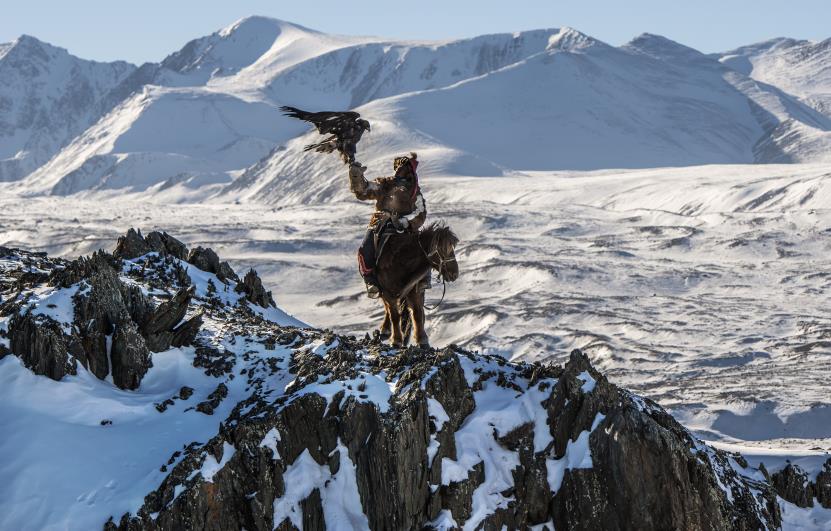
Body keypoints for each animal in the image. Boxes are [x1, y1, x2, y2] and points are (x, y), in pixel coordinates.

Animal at [376, 221, 462, 350]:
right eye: (443, 249)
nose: (455, 274)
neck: (401, 261)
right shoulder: (388, 292)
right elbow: (395, 316)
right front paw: (396, 341)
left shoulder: (413, 289)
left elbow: (416, 313)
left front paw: (422, 340)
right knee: (388, 308)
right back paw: (385, 330)